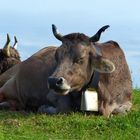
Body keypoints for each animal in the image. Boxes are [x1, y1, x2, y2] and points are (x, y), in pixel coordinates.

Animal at [0, 25, 132, 117]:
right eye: (56, 56)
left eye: (80, 59)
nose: (53, 81)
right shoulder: (54, 95)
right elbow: (65, 109)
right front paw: (43, 108)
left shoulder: (127, 101)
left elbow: (121, 111)